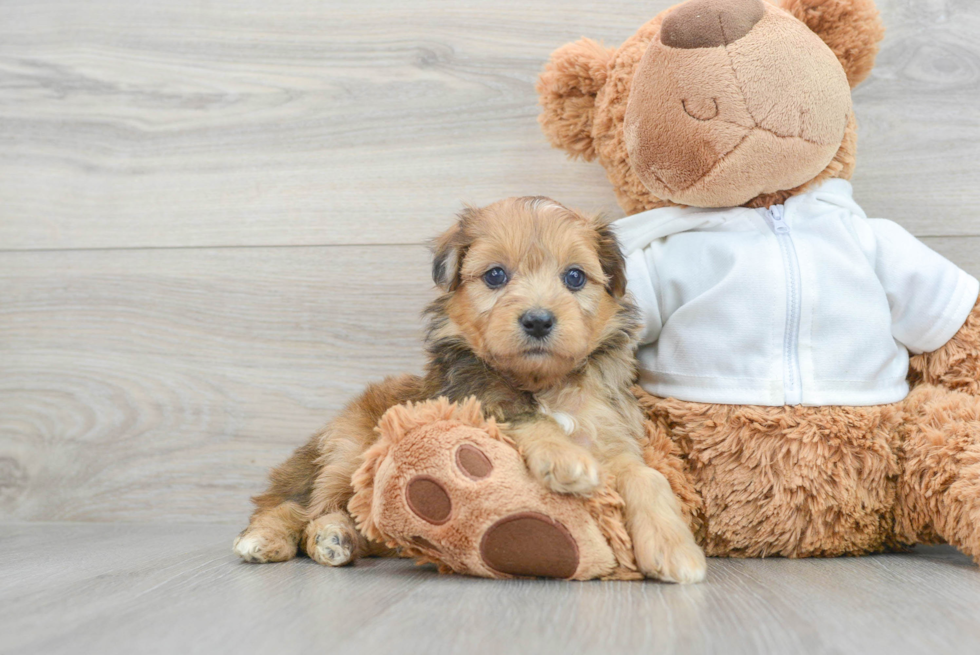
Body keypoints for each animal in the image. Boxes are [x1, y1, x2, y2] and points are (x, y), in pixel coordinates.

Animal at [234, 196, 708, 584]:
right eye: (495, 275)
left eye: (575, 277)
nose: (538, 320)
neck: (542, 382)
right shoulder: (473, 403)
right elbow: (525, 418)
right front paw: (565, 457)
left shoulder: (612, 434)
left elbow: (646, 477)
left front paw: (674, 548)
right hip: (350, 448)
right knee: (304, 507)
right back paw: (285, 538)